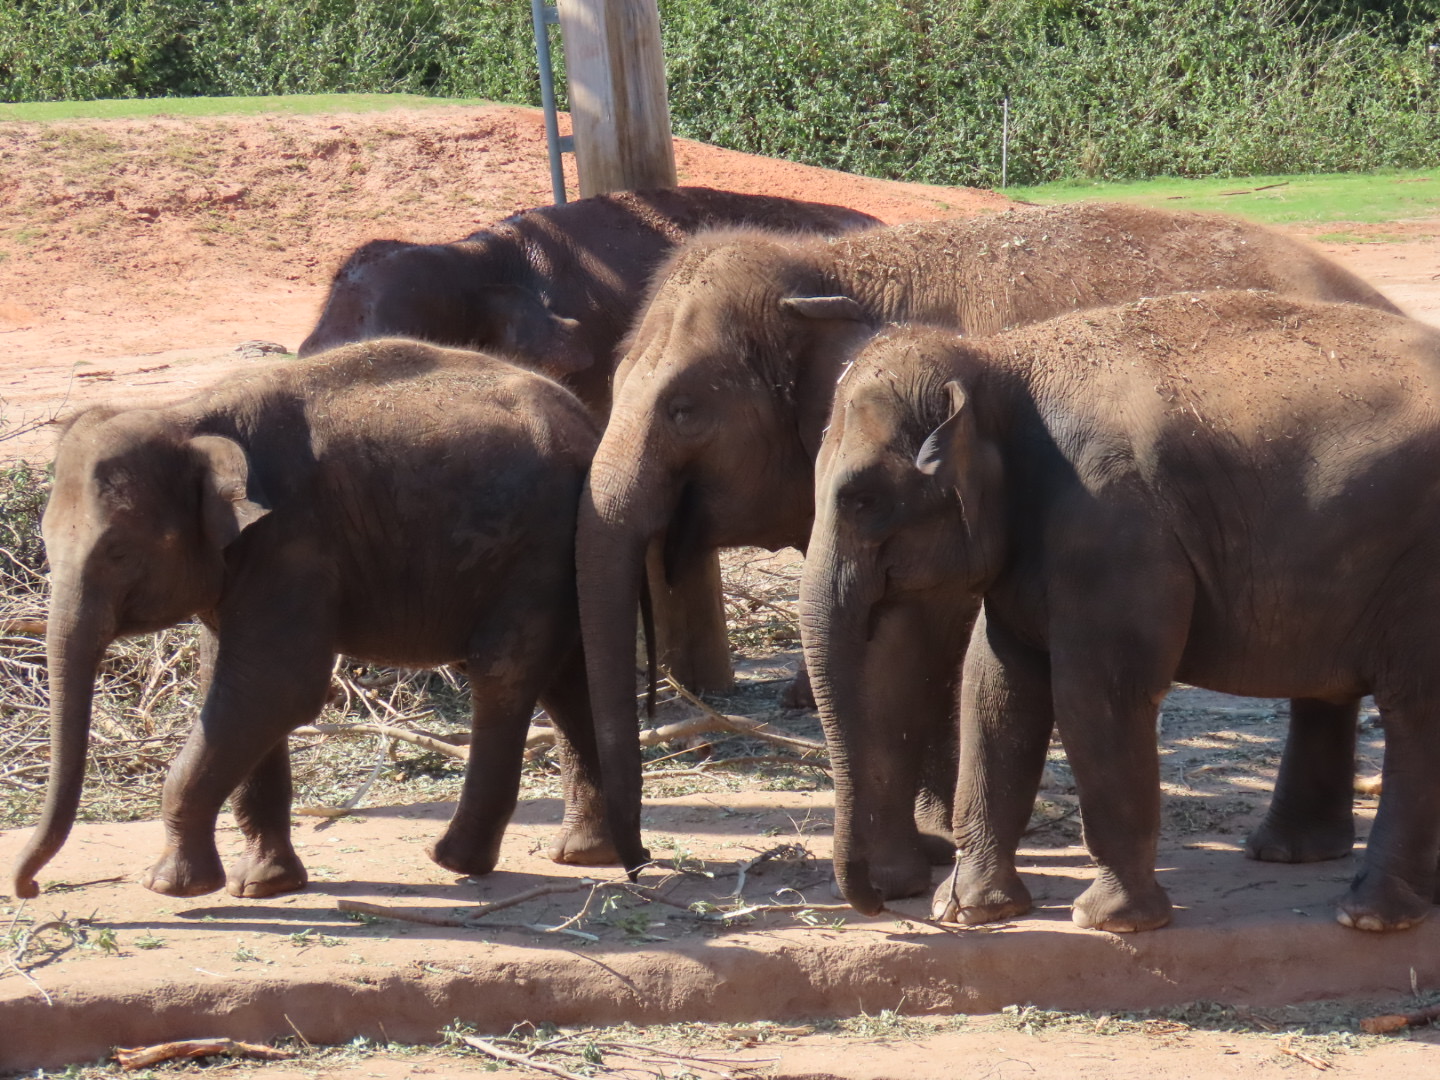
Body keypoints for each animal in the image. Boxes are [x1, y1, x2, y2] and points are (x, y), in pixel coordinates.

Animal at [11, 339, 613, 901]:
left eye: (116, 551)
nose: (30, 887)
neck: (186, 416)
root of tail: (588, 424)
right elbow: (231, 688)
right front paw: (264, 885)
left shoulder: (293, 542)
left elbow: (275, 688)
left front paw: (172, 887)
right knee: (569, 677)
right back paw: (582, 853)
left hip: (537, 549)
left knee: (504, 673)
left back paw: (455, 861)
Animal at [577, 200, 1403, 894]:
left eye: (683, 409)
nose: (631, 862)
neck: (833, 268)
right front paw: (931, 851)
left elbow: (919, 644)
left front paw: (915, 865)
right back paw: (1295, 850)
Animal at [802, 291, 1440, 933]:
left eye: (862, 500)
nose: (882, 899)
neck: (998, 359)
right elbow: (997, 690)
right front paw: (967, 910)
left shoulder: (1112, 523)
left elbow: (1097, 692)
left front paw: (1110, 921)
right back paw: (1309, 862)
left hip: (1421, 570)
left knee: (1414, 710)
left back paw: (1369, 915)